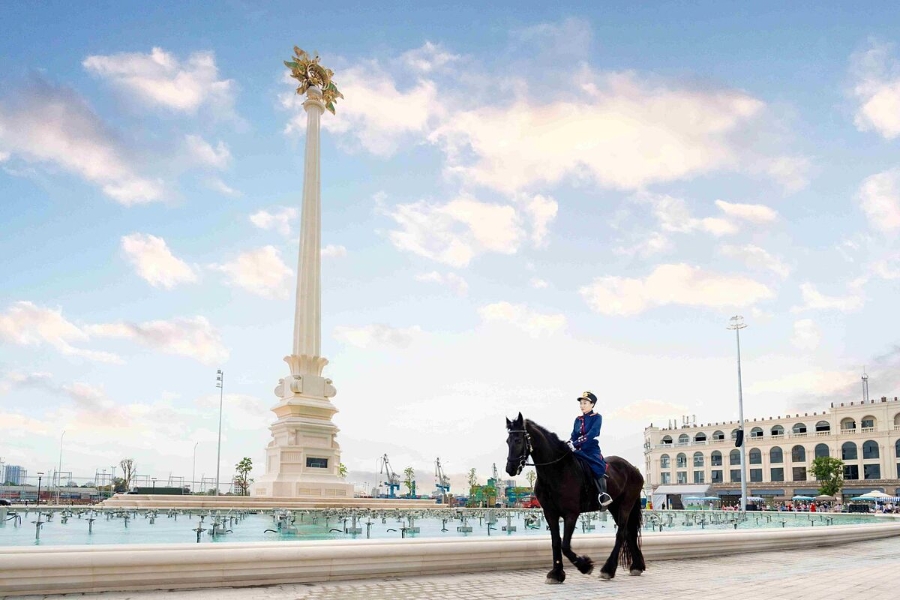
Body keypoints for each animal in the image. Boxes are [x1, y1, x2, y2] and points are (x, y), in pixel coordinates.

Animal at [505, 412, 646, 583]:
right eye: (508, 441)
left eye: (518, 440)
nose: (510, 468)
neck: (556, 470)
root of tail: (633, 469)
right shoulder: (550, 513)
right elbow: (556, 542)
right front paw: (556, 573)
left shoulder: (571, 513)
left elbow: (565, 545)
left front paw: (585, 565)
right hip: (614, 506)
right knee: (628, 533)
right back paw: (637, 566)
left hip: (626, 504)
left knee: (621, 534)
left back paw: (608, 569)